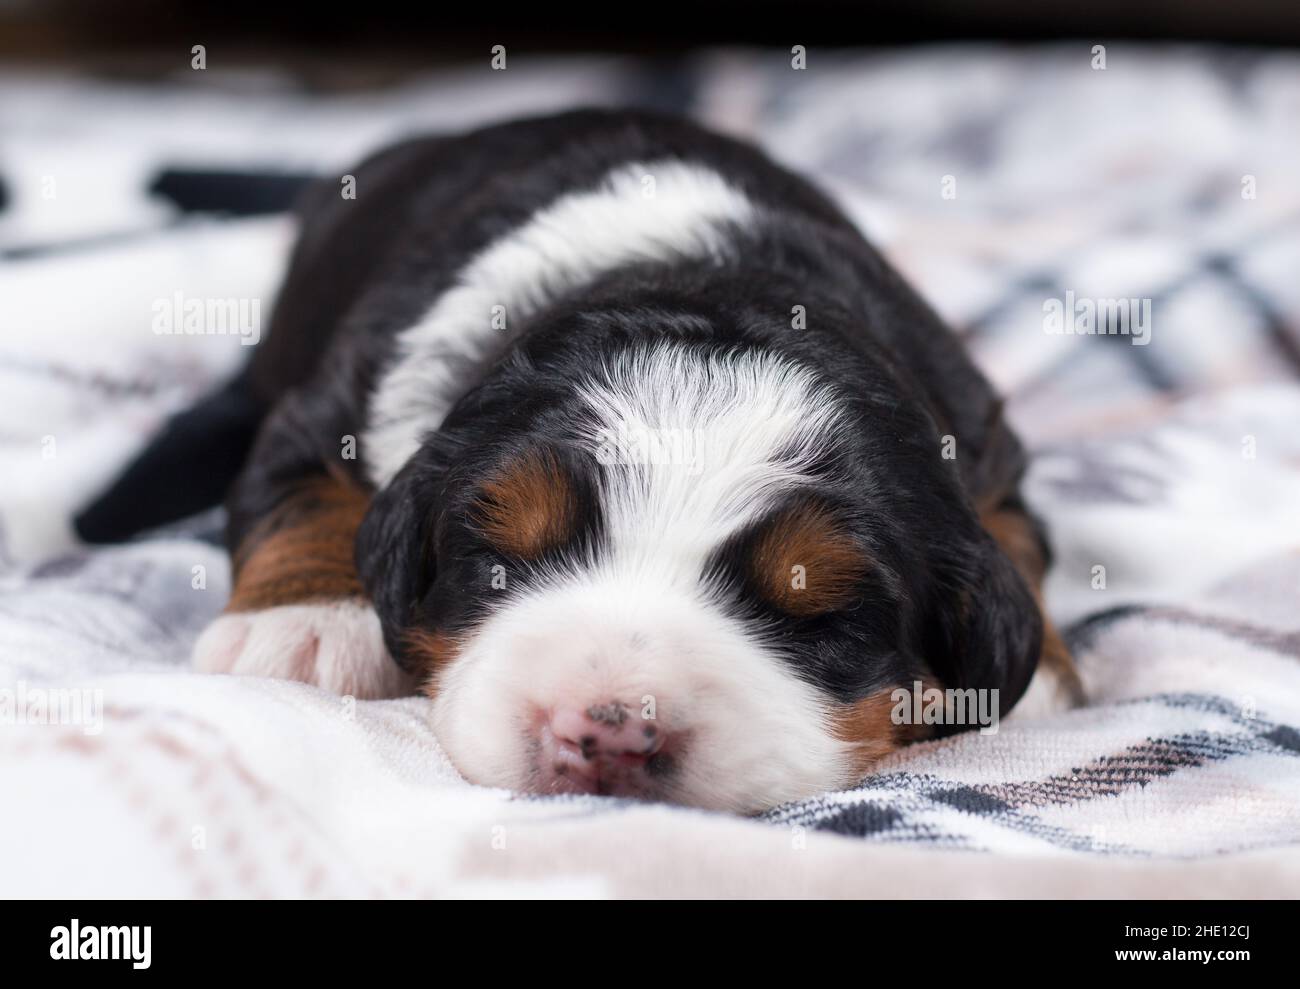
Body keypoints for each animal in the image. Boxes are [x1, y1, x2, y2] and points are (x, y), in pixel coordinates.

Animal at [76, 111, 1081, 816]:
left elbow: (1013, 538)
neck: (709, 274)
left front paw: (1037, 680)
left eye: (822, 619)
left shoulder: (983, 441)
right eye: (496, 566)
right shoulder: (328, 404)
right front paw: (304, 626)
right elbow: (302, 493)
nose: (608, 732)